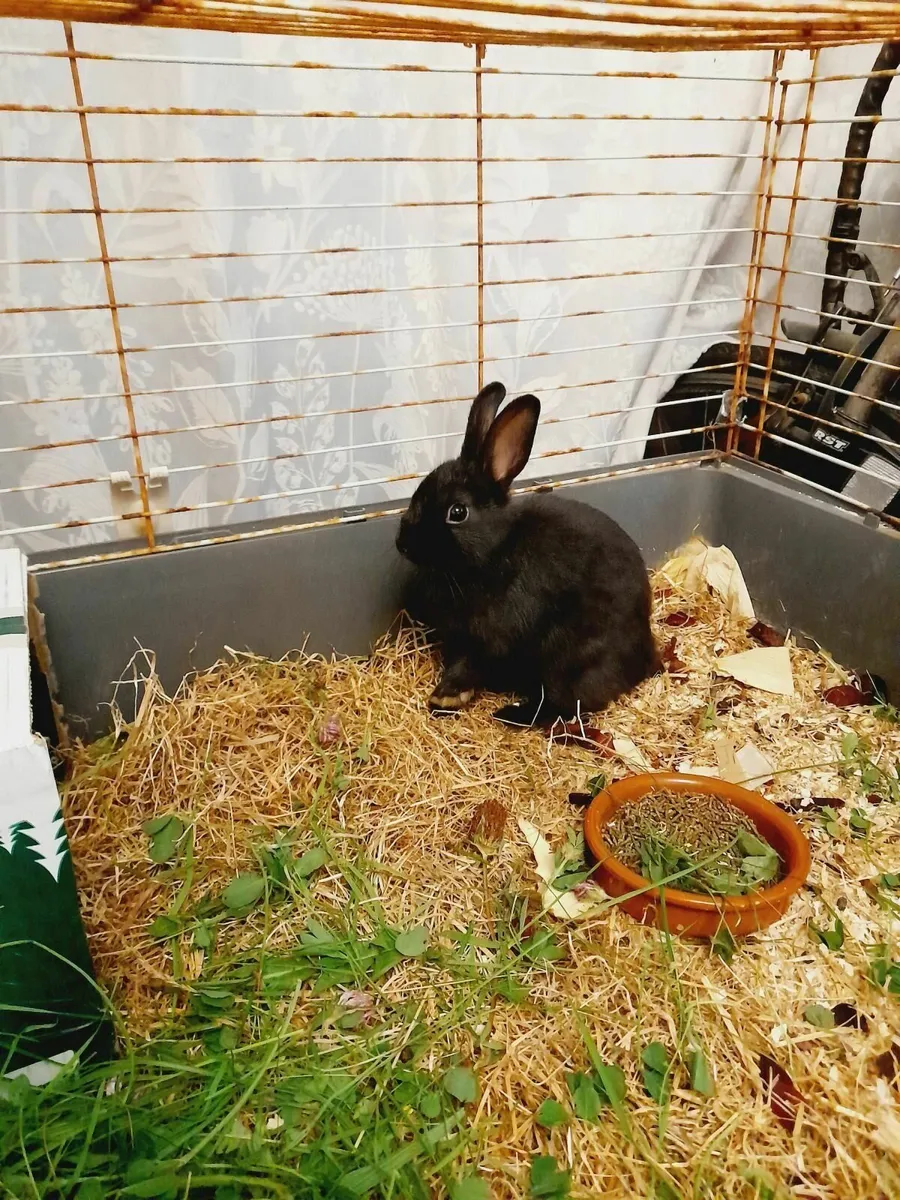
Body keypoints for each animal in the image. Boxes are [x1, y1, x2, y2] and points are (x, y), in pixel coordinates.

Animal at [395, 381, 660, 724]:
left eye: (457, 512)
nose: (402, 542)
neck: (495, 553)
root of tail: (645, 655)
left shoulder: (488, 641)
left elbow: (469, 665)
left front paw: (447, 697)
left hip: (568, 660)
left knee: (564, 705)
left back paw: (510, 714)